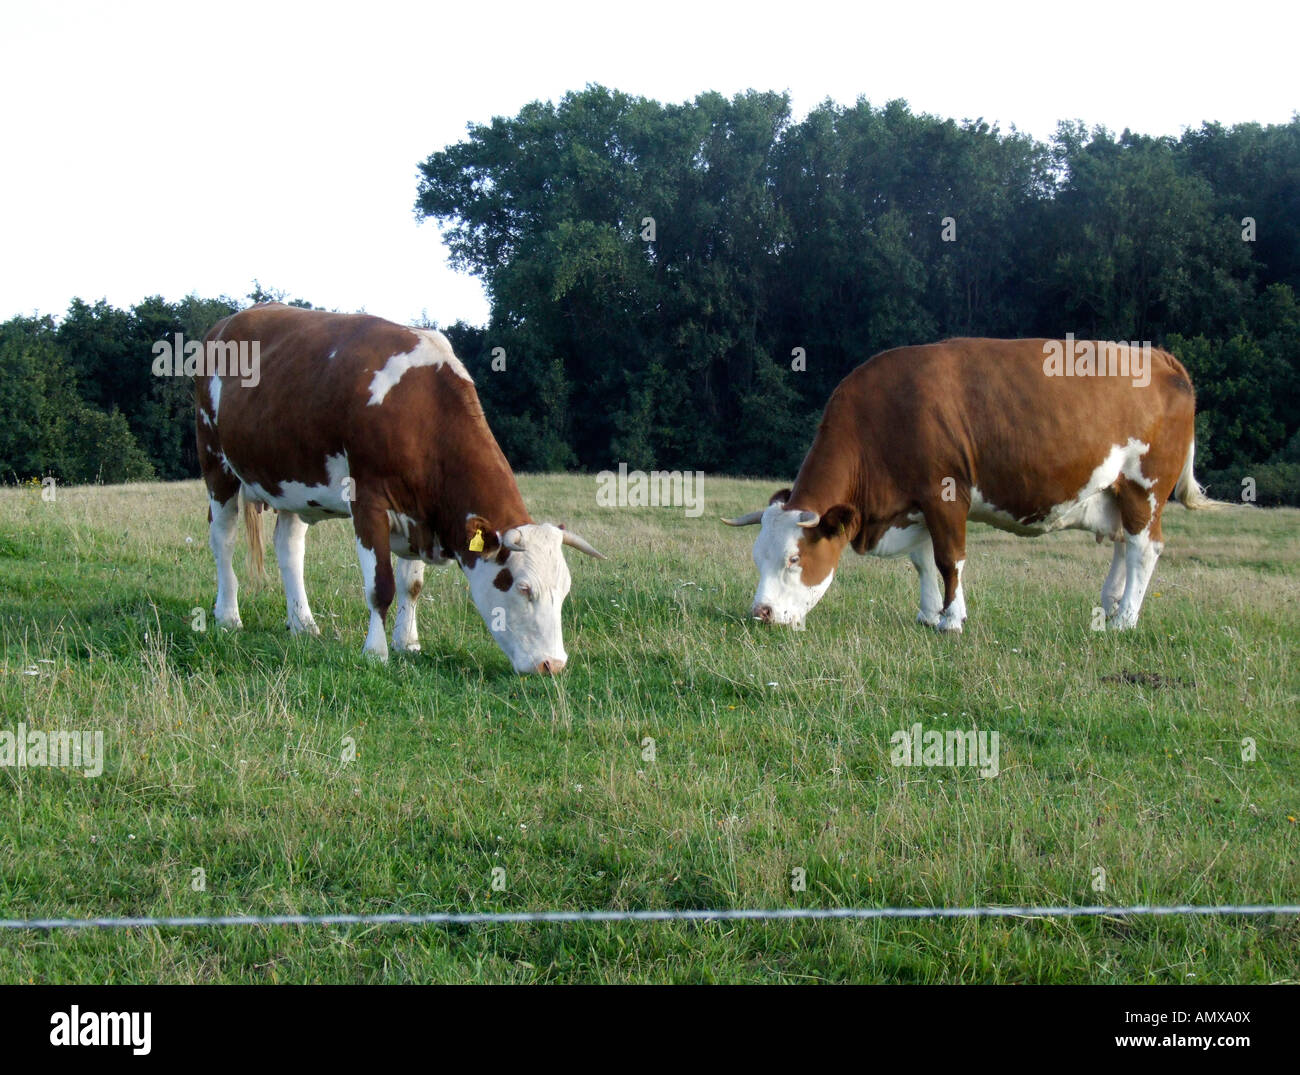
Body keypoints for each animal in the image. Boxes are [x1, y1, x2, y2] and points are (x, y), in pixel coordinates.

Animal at [192, 302, 603, 670]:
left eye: (564, 590)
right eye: (523, 588)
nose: (553, 664)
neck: (422, 409)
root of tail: (228, 321)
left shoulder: (417, 510)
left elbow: (412, 585)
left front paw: (408, 643)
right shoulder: (368, 502)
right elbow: (382, 586)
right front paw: (376, 653)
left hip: (291, 481)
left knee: (289, 547)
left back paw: (303, 623)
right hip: (215, 460)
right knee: (223, 538)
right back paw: (227, 616)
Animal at [728, 337, 1211, 631]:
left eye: (794, 558)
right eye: (756, 556)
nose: (760, 613)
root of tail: (1157, 357)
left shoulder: (945, 494)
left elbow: (949, 559)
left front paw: (951, 619)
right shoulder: (916, 504)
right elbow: (923, 560)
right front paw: (928, 614)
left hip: (1145, 487)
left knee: (1144, 549)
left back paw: (1124, 619)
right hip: (1115, 493)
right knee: (1123, 546)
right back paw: (1110, 604)